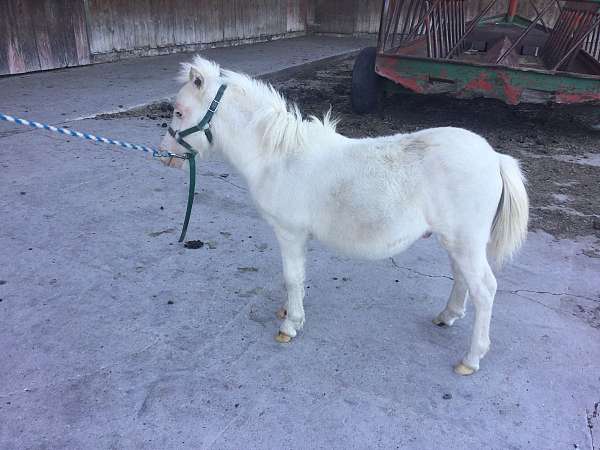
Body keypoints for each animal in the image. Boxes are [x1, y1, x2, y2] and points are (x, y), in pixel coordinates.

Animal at [161, 54, 528, 374]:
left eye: (178, 112)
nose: (166, 155)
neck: (278, 157)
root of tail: (496, 157)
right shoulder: (299, 237)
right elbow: (298, 277)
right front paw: (290, 310)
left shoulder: (289, 233)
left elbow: (291, 277)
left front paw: (290, 325)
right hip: (457, 241)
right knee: (462, 277)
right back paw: (447, 316)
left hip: (465, 242)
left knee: (484, 289)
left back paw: (471, 358)